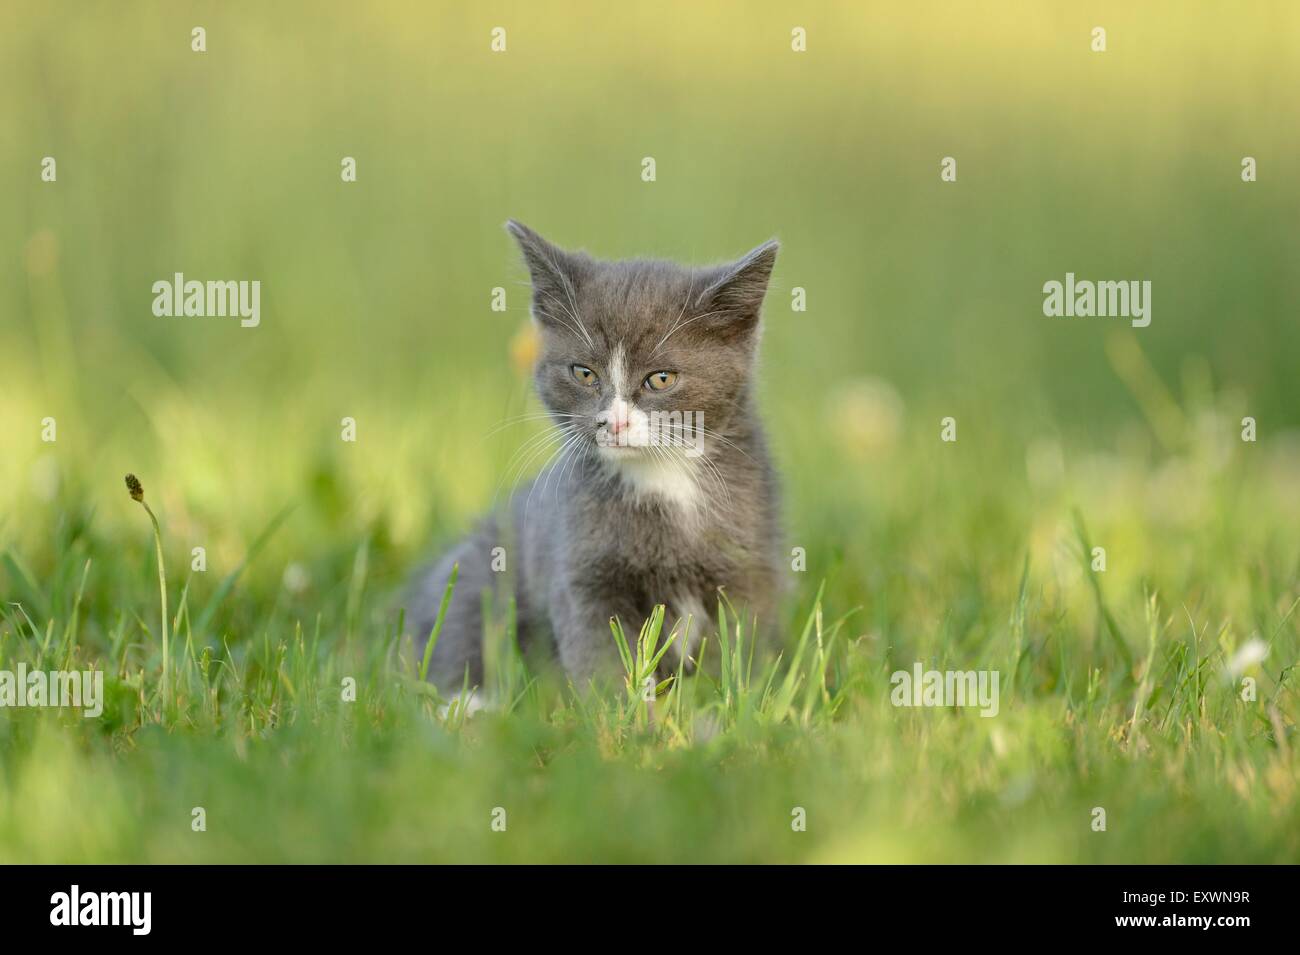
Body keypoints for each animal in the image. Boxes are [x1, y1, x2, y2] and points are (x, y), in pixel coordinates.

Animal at [405, 223, 780, 686]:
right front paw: (619, 705)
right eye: (584, 373)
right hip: (479, 566)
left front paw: (721, 696)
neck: (662, 479)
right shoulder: (580, 564)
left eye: (661, 379)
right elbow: (600, 653)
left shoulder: (750, 565)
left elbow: (737, 648)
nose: (613, 422)